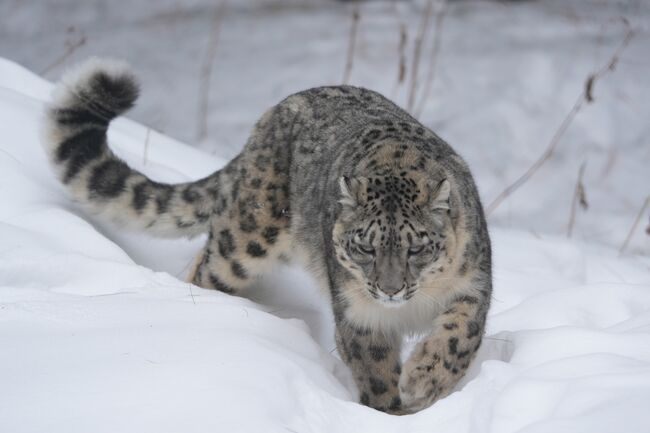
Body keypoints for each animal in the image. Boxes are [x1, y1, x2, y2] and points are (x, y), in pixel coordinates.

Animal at [44, 59, 492, 414]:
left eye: (417, 247)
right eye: (365, 246)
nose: (390, 289)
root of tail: (275, 112)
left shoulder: (473, 284)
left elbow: (460, 337)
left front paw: (424, 379)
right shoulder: (359, 314)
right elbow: (375, 370)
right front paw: (391, 411)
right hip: (246, 239)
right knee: (208, 268)